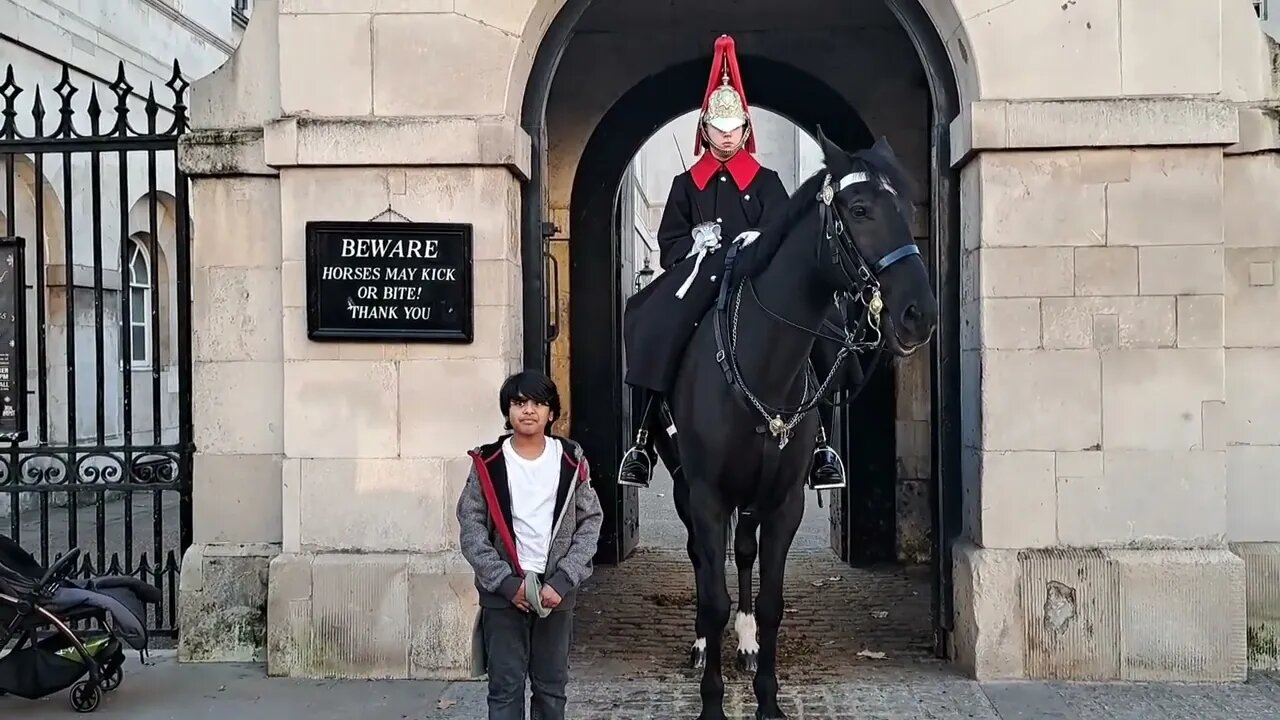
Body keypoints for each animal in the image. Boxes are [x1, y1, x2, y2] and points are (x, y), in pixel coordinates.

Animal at [655, 130, 936, 717]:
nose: (919, 313)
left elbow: (771, 602)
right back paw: (704, 645)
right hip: (685, 486)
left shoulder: (784, 500)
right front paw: (712, 700)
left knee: (743, 554)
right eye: (859, 209)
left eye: (906, 208)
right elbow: (711, 596)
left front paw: (766, 697)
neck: (764, 361)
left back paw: (743, 645)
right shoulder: (706, 494)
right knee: (702, 561)